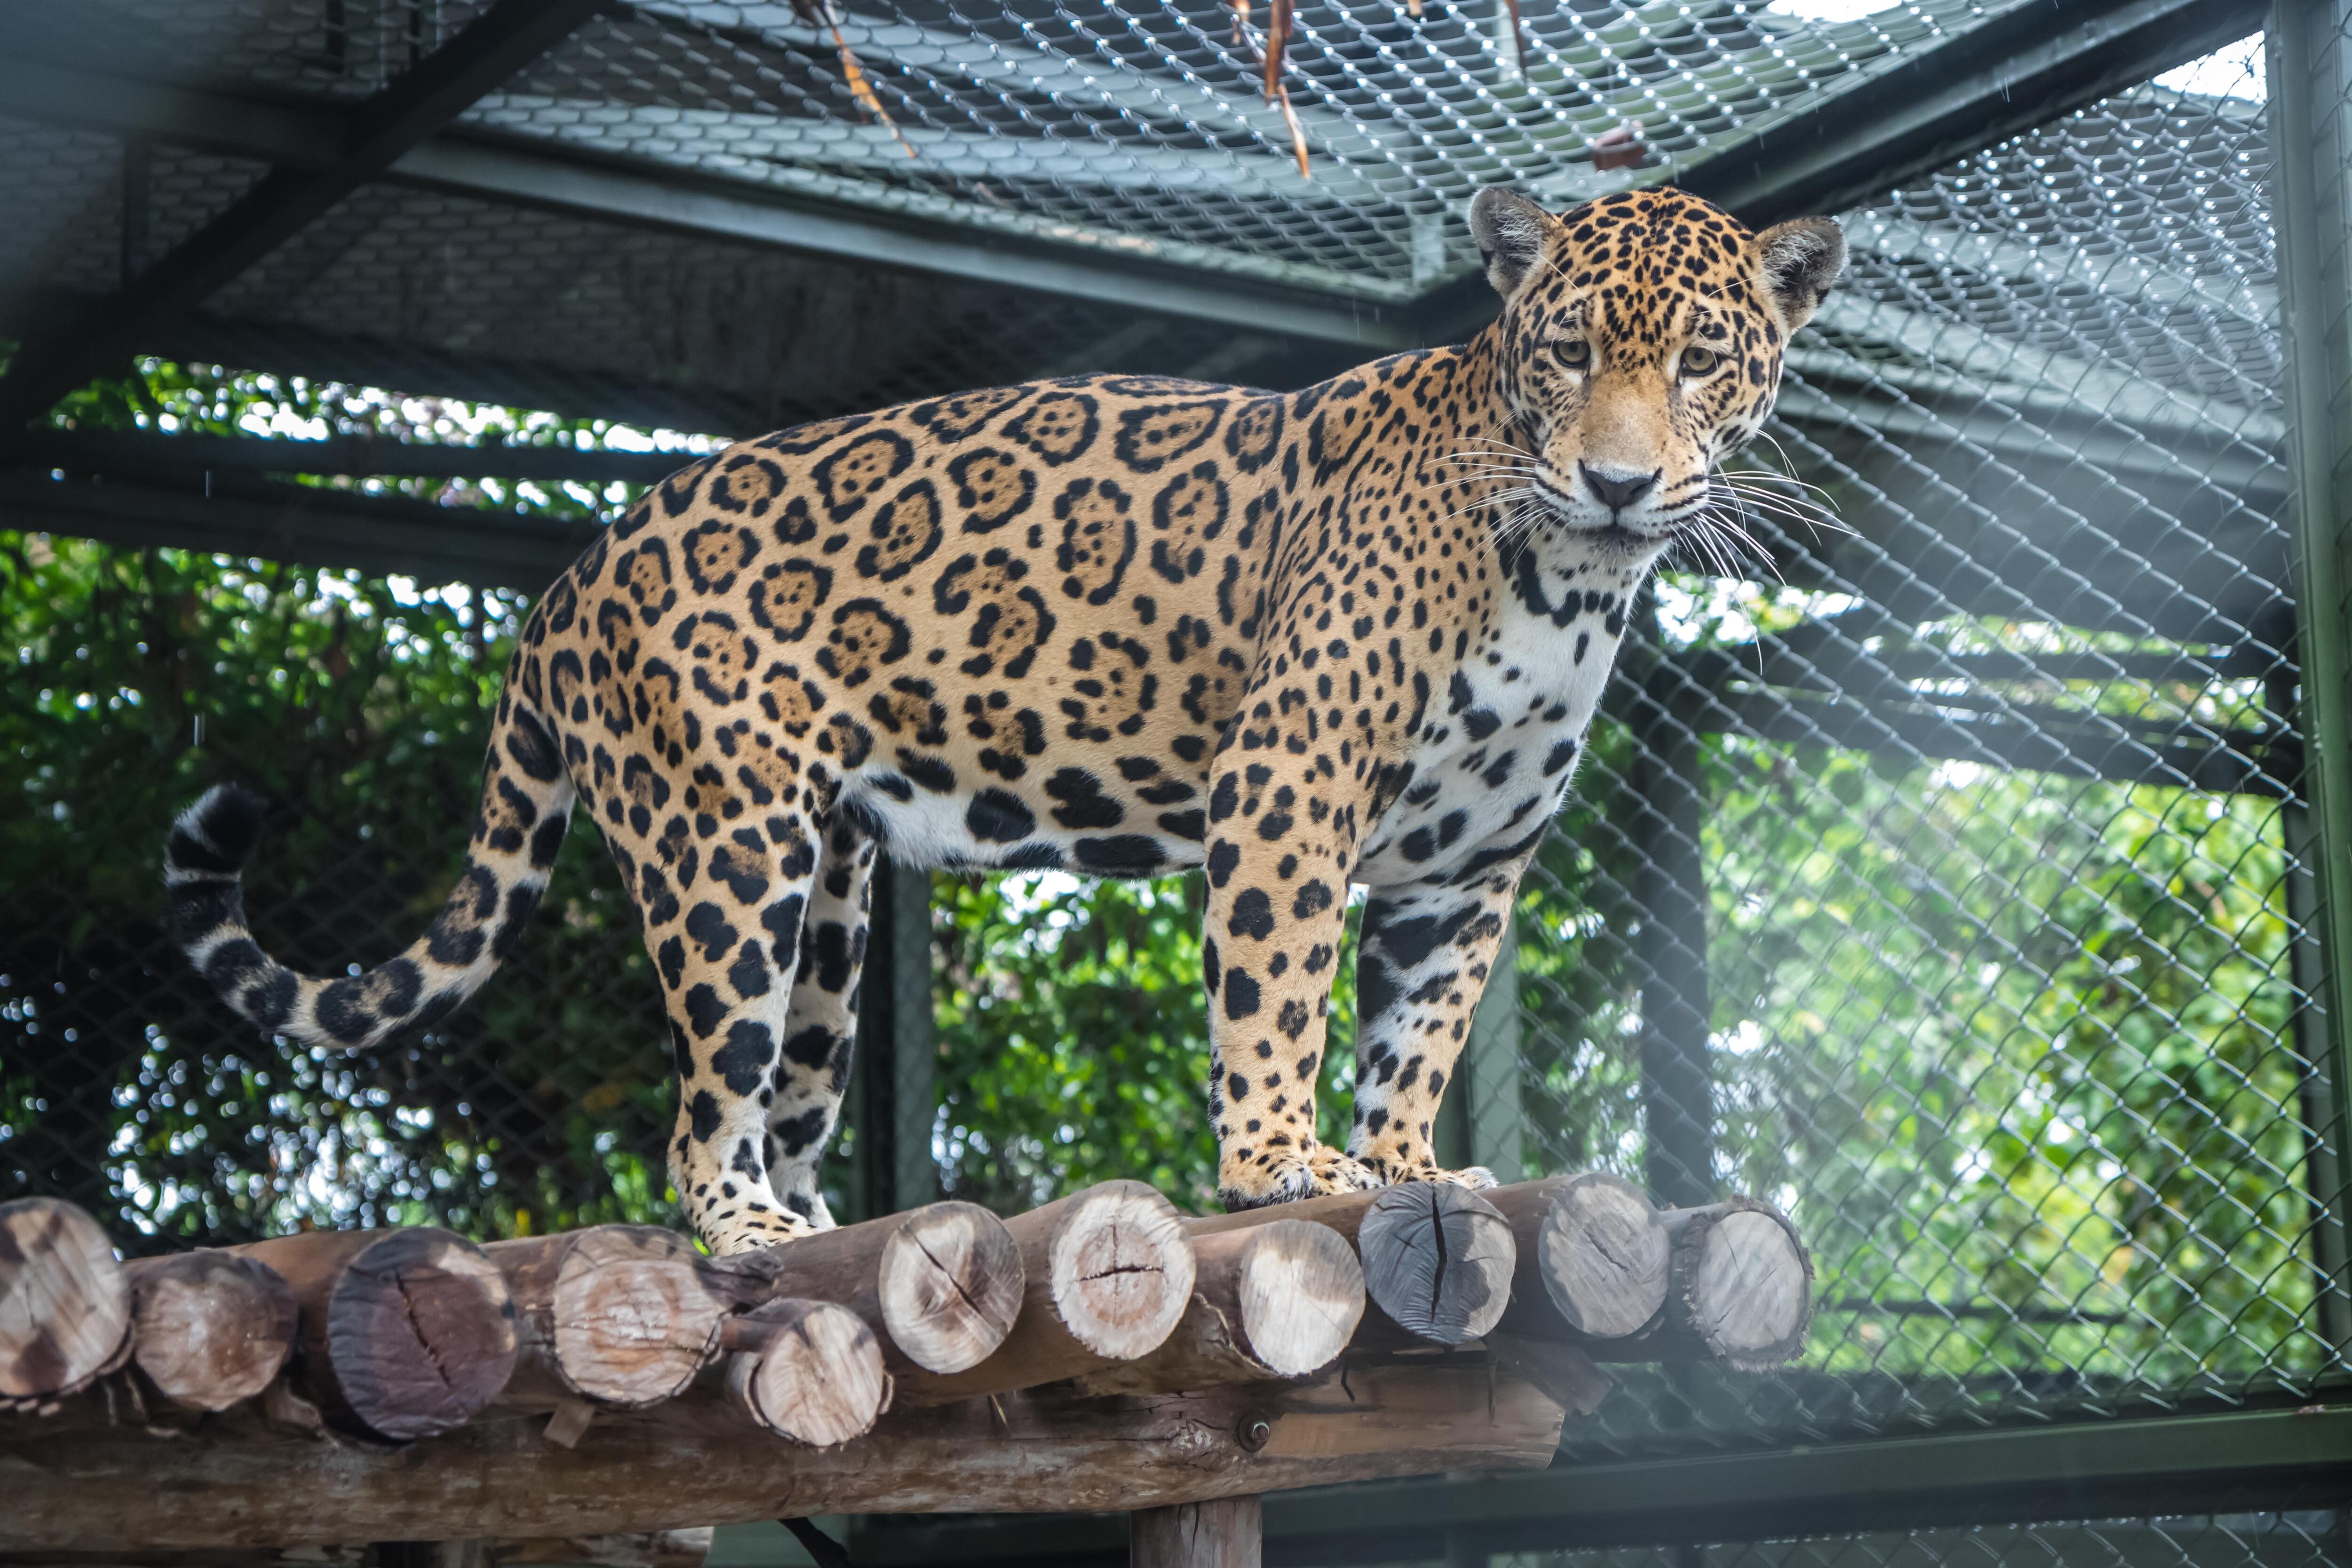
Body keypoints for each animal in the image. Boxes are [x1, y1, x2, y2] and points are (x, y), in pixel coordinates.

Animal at [164, 185, 1845, 1256]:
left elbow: (1417, 1039)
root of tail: (571, 570)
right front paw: (1278, 1166)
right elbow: (1278, 993)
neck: (1573, 579)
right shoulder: (1286, 781)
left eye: (1701, 361)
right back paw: (742, 1227)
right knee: (700, 1111)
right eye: (1566, 351)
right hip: (726, 854)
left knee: (788, 1090)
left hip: (834, 905)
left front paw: (1407, 1166)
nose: (1617, 479)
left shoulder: (1469, 866)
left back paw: (824, 1221)